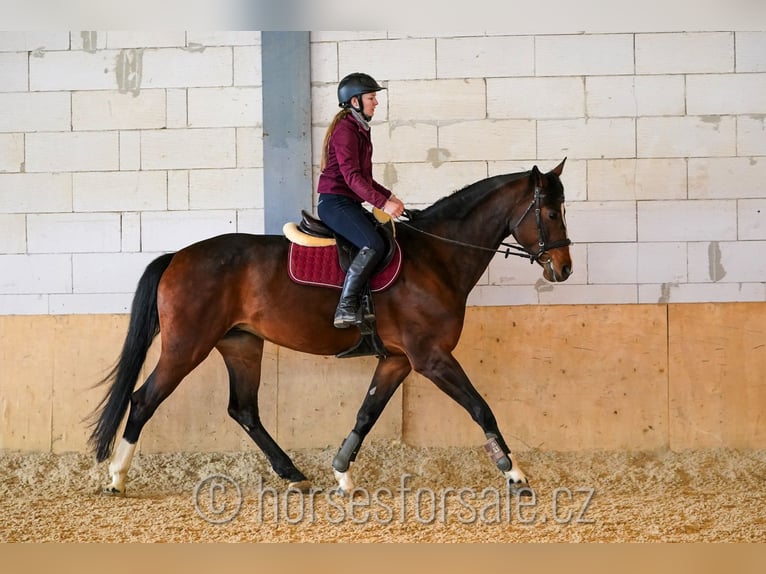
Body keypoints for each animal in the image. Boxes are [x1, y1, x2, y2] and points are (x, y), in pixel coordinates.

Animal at [88, 160, 568, 498]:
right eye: (548, 212)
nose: (563, 268)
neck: (435, 258)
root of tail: (178, 256)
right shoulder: (431, 358)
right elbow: (480, 407)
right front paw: (515, 474)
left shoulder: (397, 361)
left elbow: (366, 414)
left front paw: (342, 474)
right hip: (187, 346)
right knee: (144, 399)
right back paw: (116, 477)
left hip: (241, 345)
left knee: (244, 410)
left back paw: (295, 476)